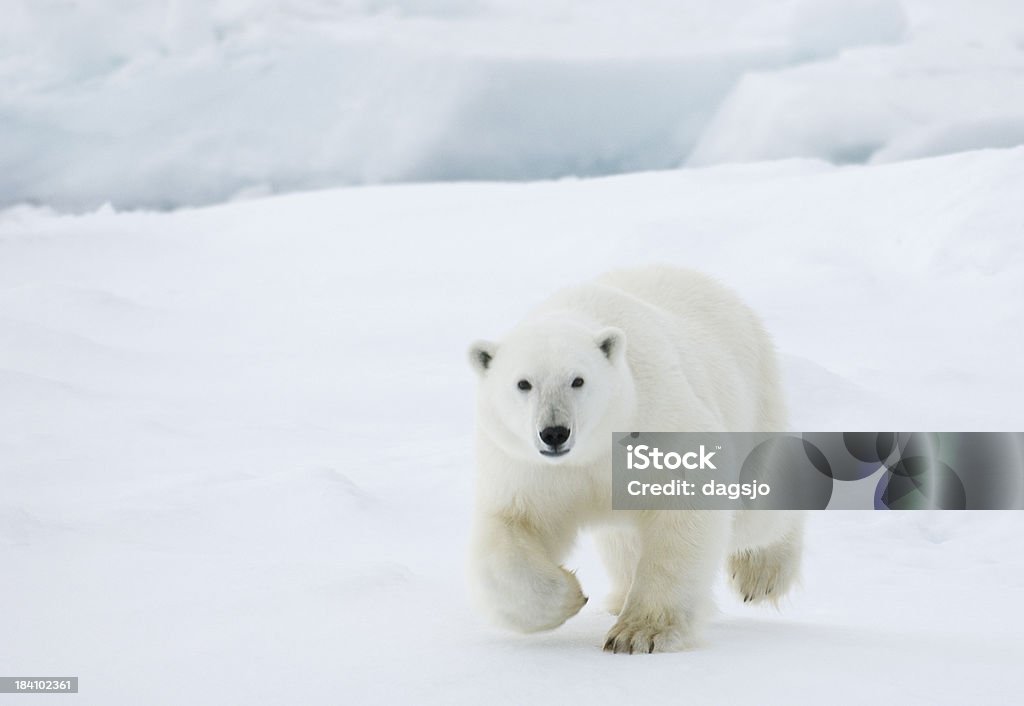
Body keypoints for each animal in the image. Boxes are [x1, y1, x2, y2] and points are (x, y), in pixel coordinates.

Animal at [468, 266, 802, 651]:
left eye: (578, 380)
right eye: (523, 383)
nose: (554, 433)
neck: (594, 449)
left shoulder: (659, 417)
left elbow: (686, 506)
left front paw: (639, 633)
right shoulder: (526, 468)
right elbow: (511, 529)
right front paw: (570, 596)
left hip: (753, 397)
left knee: (756, 514)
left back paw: (761, 573)